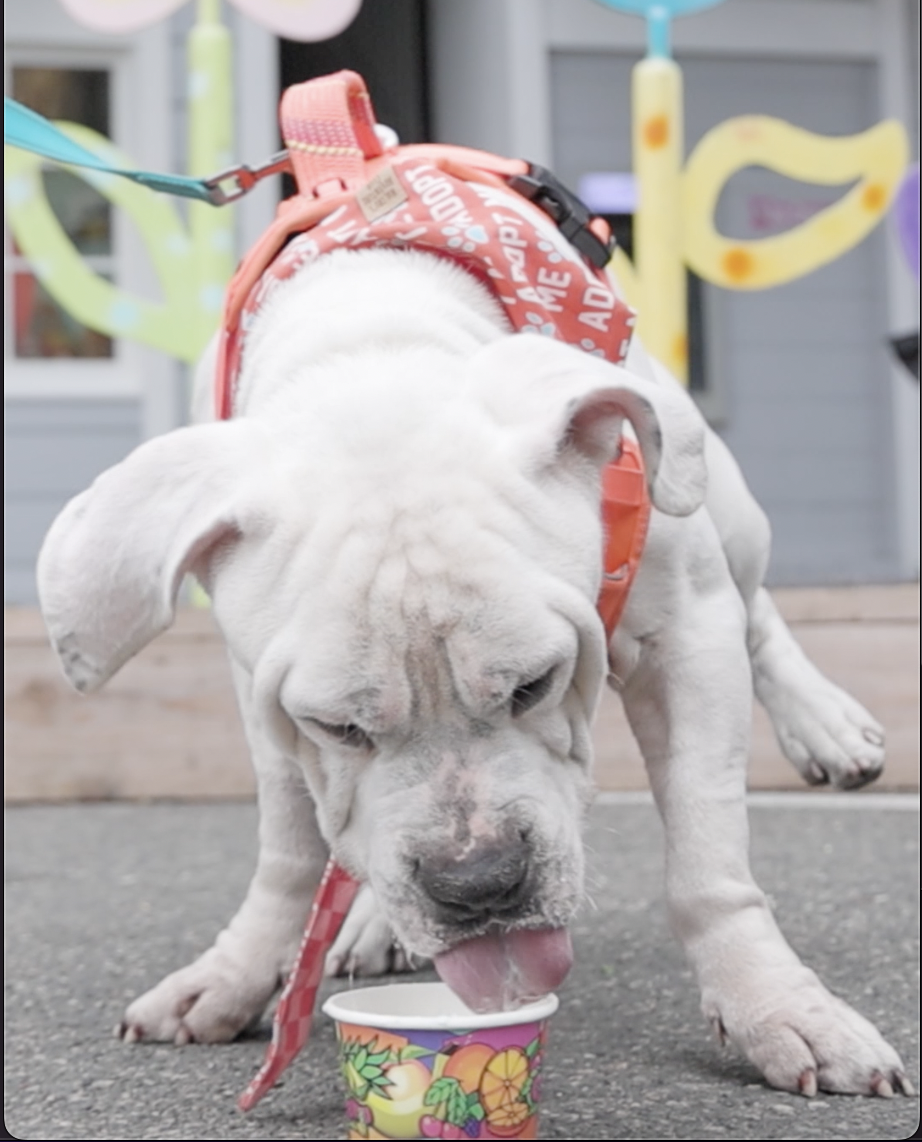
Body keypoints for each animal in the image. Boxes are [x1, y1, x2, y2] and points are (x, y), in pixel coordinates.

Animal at [37, 247, 914, 1096]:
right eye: (340, 726)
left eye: (536, 683)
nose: (480, 883)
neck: (373, 352)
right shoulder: (268, 704)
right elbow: (288, 850)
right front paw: (235, 973)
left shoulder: (687, 633)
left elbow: (709, 856)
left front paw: (775, 1005)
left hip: (714, 500)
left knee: (754, 603)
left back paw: (827, 725)